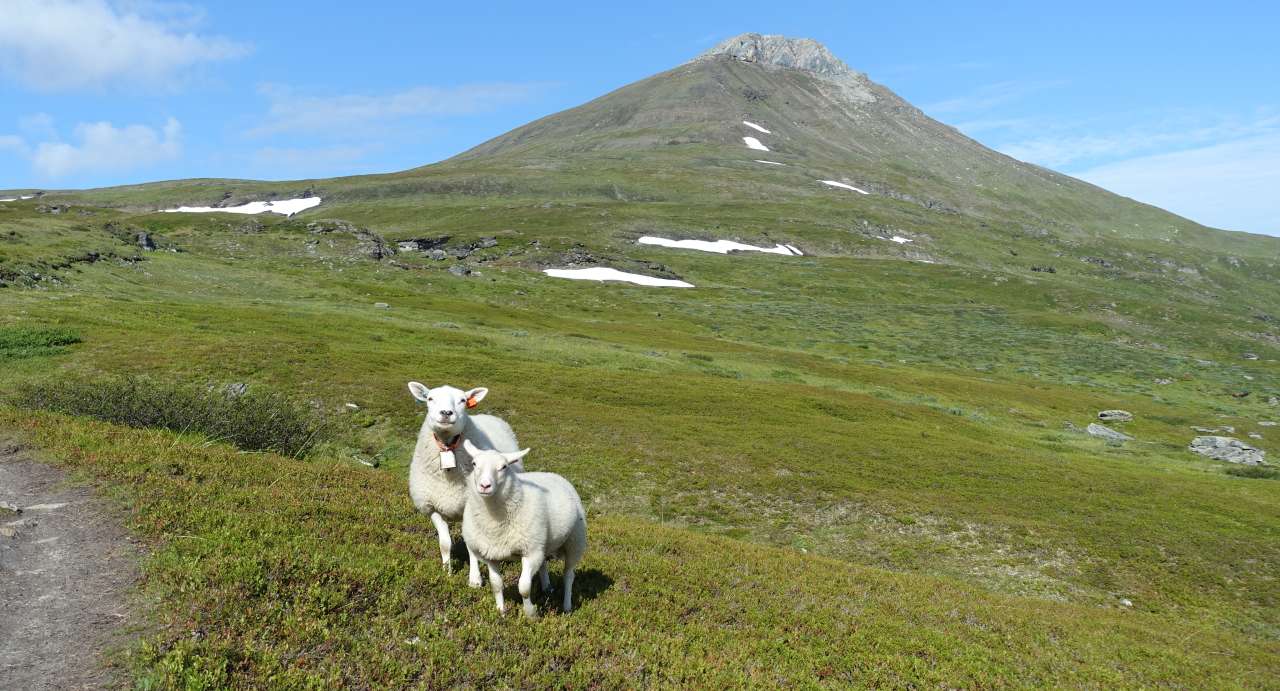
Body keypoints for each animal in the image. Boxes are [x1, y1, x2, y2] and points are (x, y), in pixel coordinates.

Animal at [401, 381, 517, 586]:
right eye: (430, 398)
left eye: (463, 400)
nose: (446, 413)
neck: (448, 446)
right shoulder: (433, 507)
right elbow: (445, 543)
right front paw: (446, 571)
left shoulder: (468, 508)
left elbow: (472, 547)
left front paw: (475, 579)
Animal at [460, 440, 586, 619]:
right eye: (474, 464)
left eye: (504, 467)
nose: (485, 486)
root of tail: (554, 475)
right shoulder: (491, 554)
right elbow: (496, 584)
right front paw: (501, 612)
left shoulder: (530, 552)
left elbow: (524, 587)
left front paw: (530, 613)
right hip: (542, 542)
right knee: (544, 563)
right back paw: (547, 587)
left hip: (574, 541)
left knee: (569, 575)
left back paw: (567, 606)